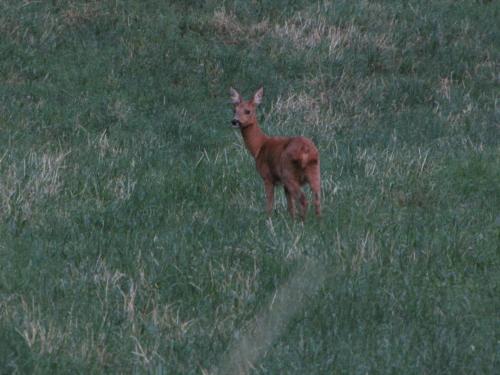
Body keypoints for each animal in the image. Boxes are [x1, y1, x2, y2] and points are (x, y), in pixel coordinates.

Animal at [229, 86, 320, 219]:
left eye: (247, 111)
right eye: (234, 110)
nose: (234, 121)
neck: (259, 146)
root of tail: (305, 149)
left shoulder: (267, 176)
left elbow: (270, 204)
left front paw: (268, 218)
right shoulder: (283, 184)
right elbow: (290, 206)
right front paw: (291, 220)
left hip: (289, 173)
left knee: (303, 200)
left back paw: (303, 221)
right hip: (314, 171)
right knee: (317, 199)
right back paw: (318, 221)